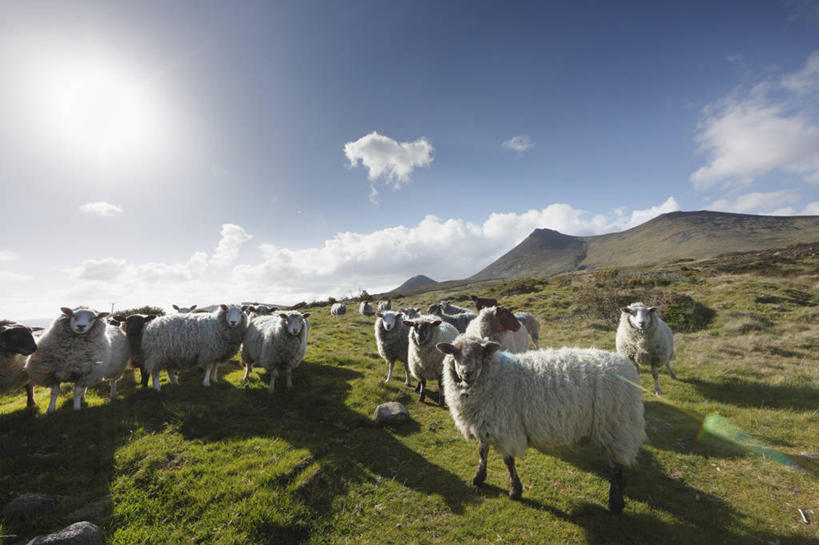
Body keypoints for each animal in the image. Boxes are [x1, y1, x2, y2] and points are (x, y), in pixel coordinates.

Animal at [436, 334, 648, 512]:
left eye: (480, 352)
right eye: (454, 352)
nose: (467, 373)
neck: (497, 376)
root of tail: (627, 367)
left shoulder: (506, 427)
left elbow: (508, 461)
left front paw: (515, 490)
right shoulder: (486, 423)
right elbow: (482, 451)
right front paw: (479, 477)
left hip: (617, 426)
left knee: (617, 468)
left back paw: (615, 503)